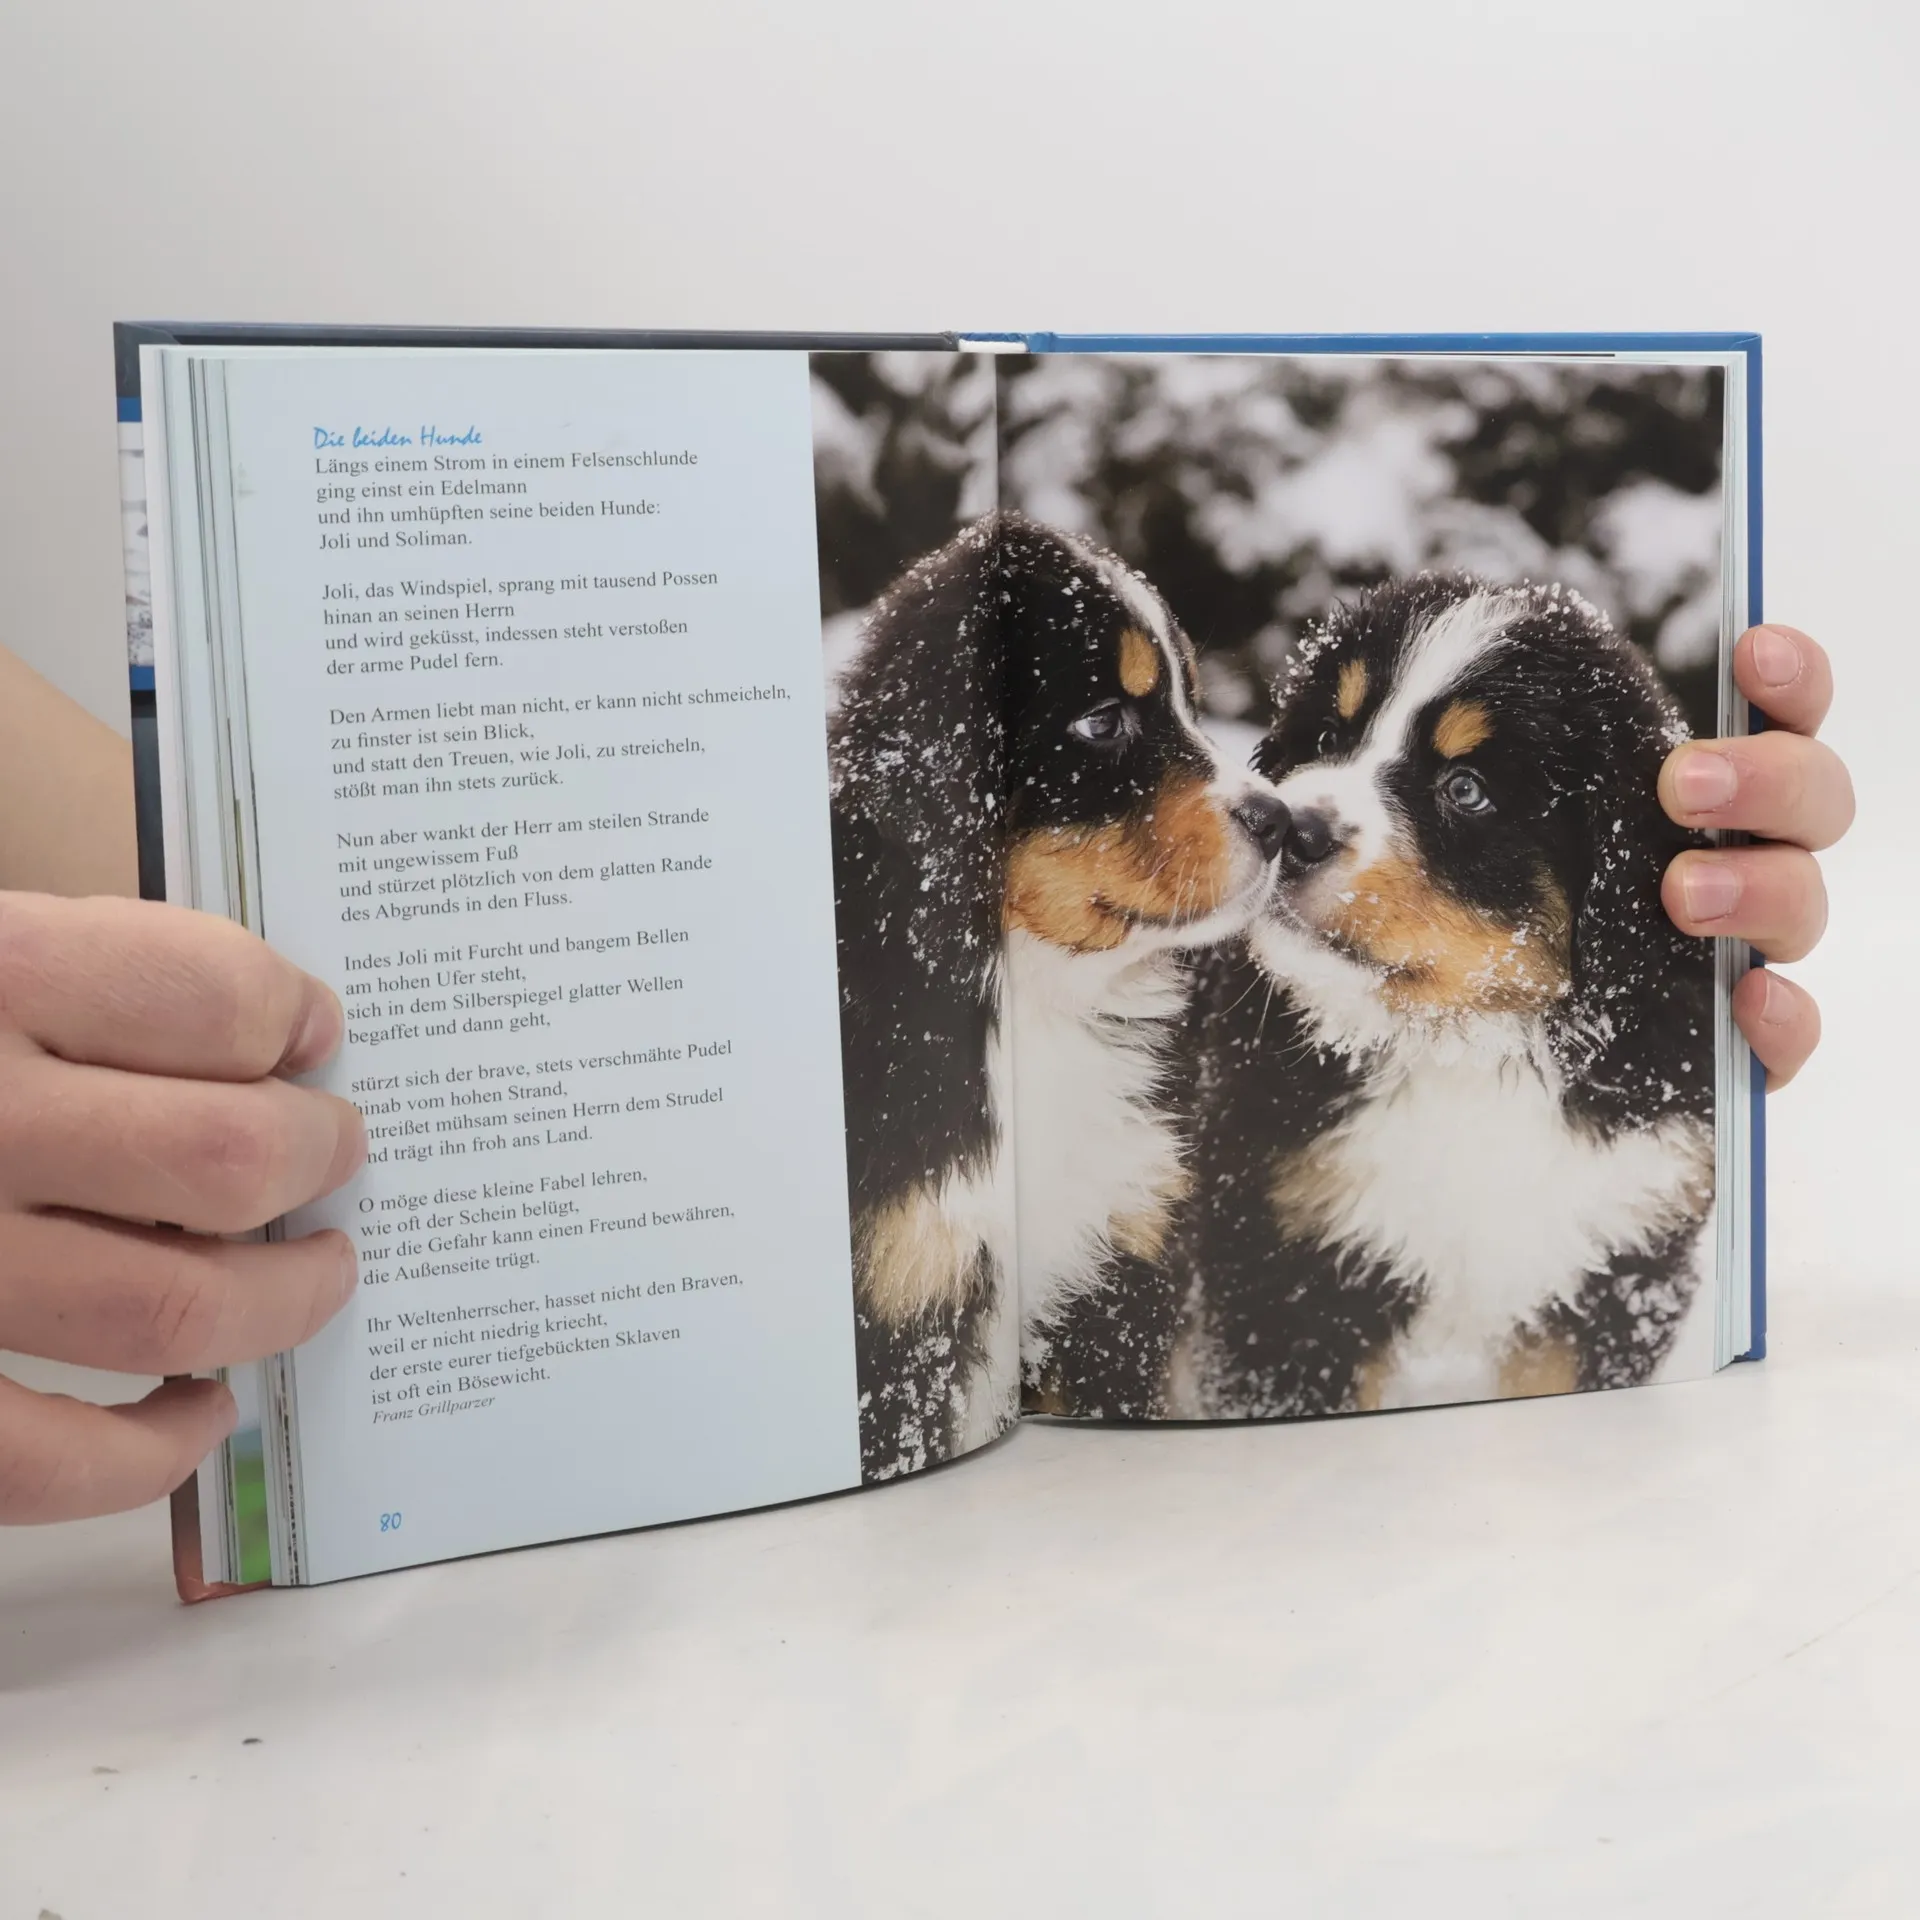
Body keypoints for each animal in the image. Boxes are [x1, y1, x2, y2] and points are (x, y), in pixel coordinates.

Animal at [829, 511, 1291, 1477]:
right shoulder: (903, 1294)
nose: (1280, 822)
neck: (1036, 996)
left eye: (1192, 702)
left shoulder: (1119, 1265)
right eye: (1102, 720)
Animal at [1174, 572, 1717, 1417]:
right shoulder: (1285, 1264)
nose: (1293, 828)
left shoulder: (1618, 1259)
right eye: (1328, 737)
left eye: (1467, 789)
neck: (1464, 1045)